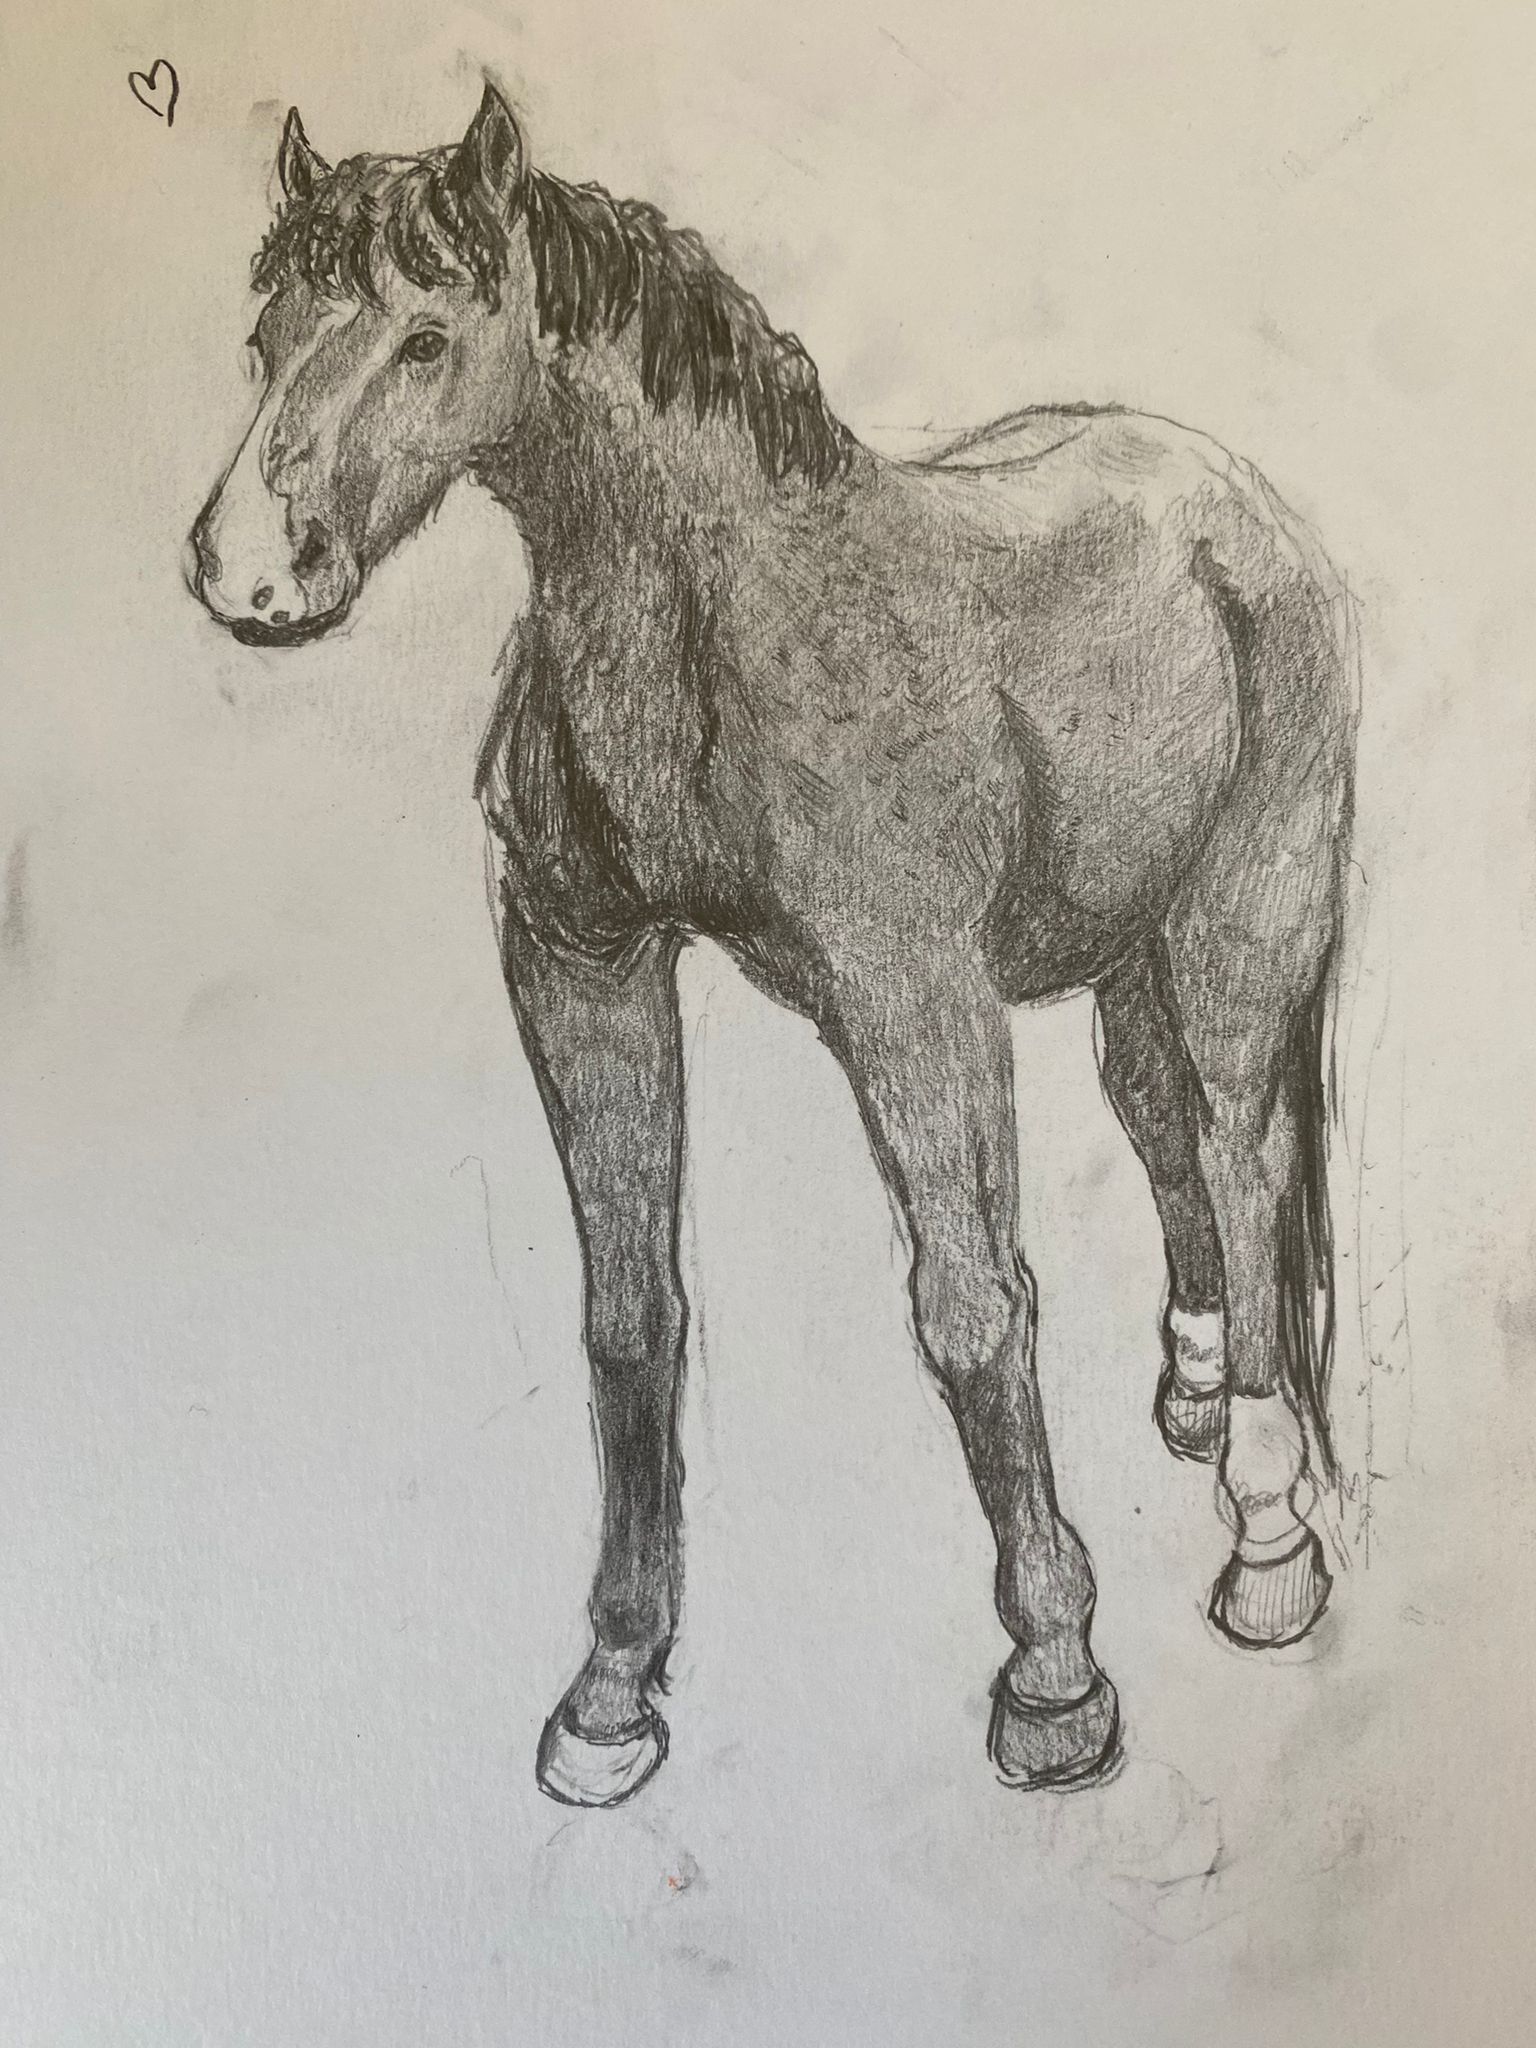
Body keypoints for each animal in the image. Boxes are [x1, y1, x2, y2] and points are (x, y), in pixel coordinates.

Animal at [188, 85, 1356, 1808]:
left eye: (423, 337)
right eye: (265, 338)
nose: (253, 570)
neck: (716, 621)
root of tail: (1231, 501)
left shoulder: (914, 1004)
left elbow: (972, 1306)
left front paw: (1055, 1677)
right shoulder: (582, 971)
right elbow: (630, 1321)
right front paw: (613, 1692)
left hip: (1239, 925)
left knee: (1245, 1147)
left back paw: (1268, 1545)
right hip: (1123, 951)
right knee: (1171, 1144)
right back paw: (1201, 1398)